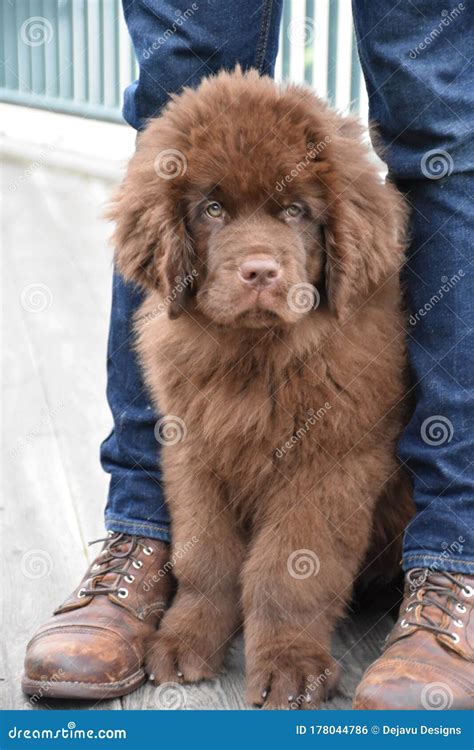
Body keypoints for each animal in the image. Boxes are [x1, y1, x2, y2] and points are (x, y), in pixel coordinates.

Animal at [109, 69, 412, 712]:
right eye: (212, 209)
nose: (260, 272)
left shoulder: (330, 461)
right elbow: (205, 556)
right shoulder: (192, 451)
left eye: (295, 210)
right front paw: (186, 640)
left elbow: (292, 569)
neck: (256, 358)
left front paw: (291, 666)